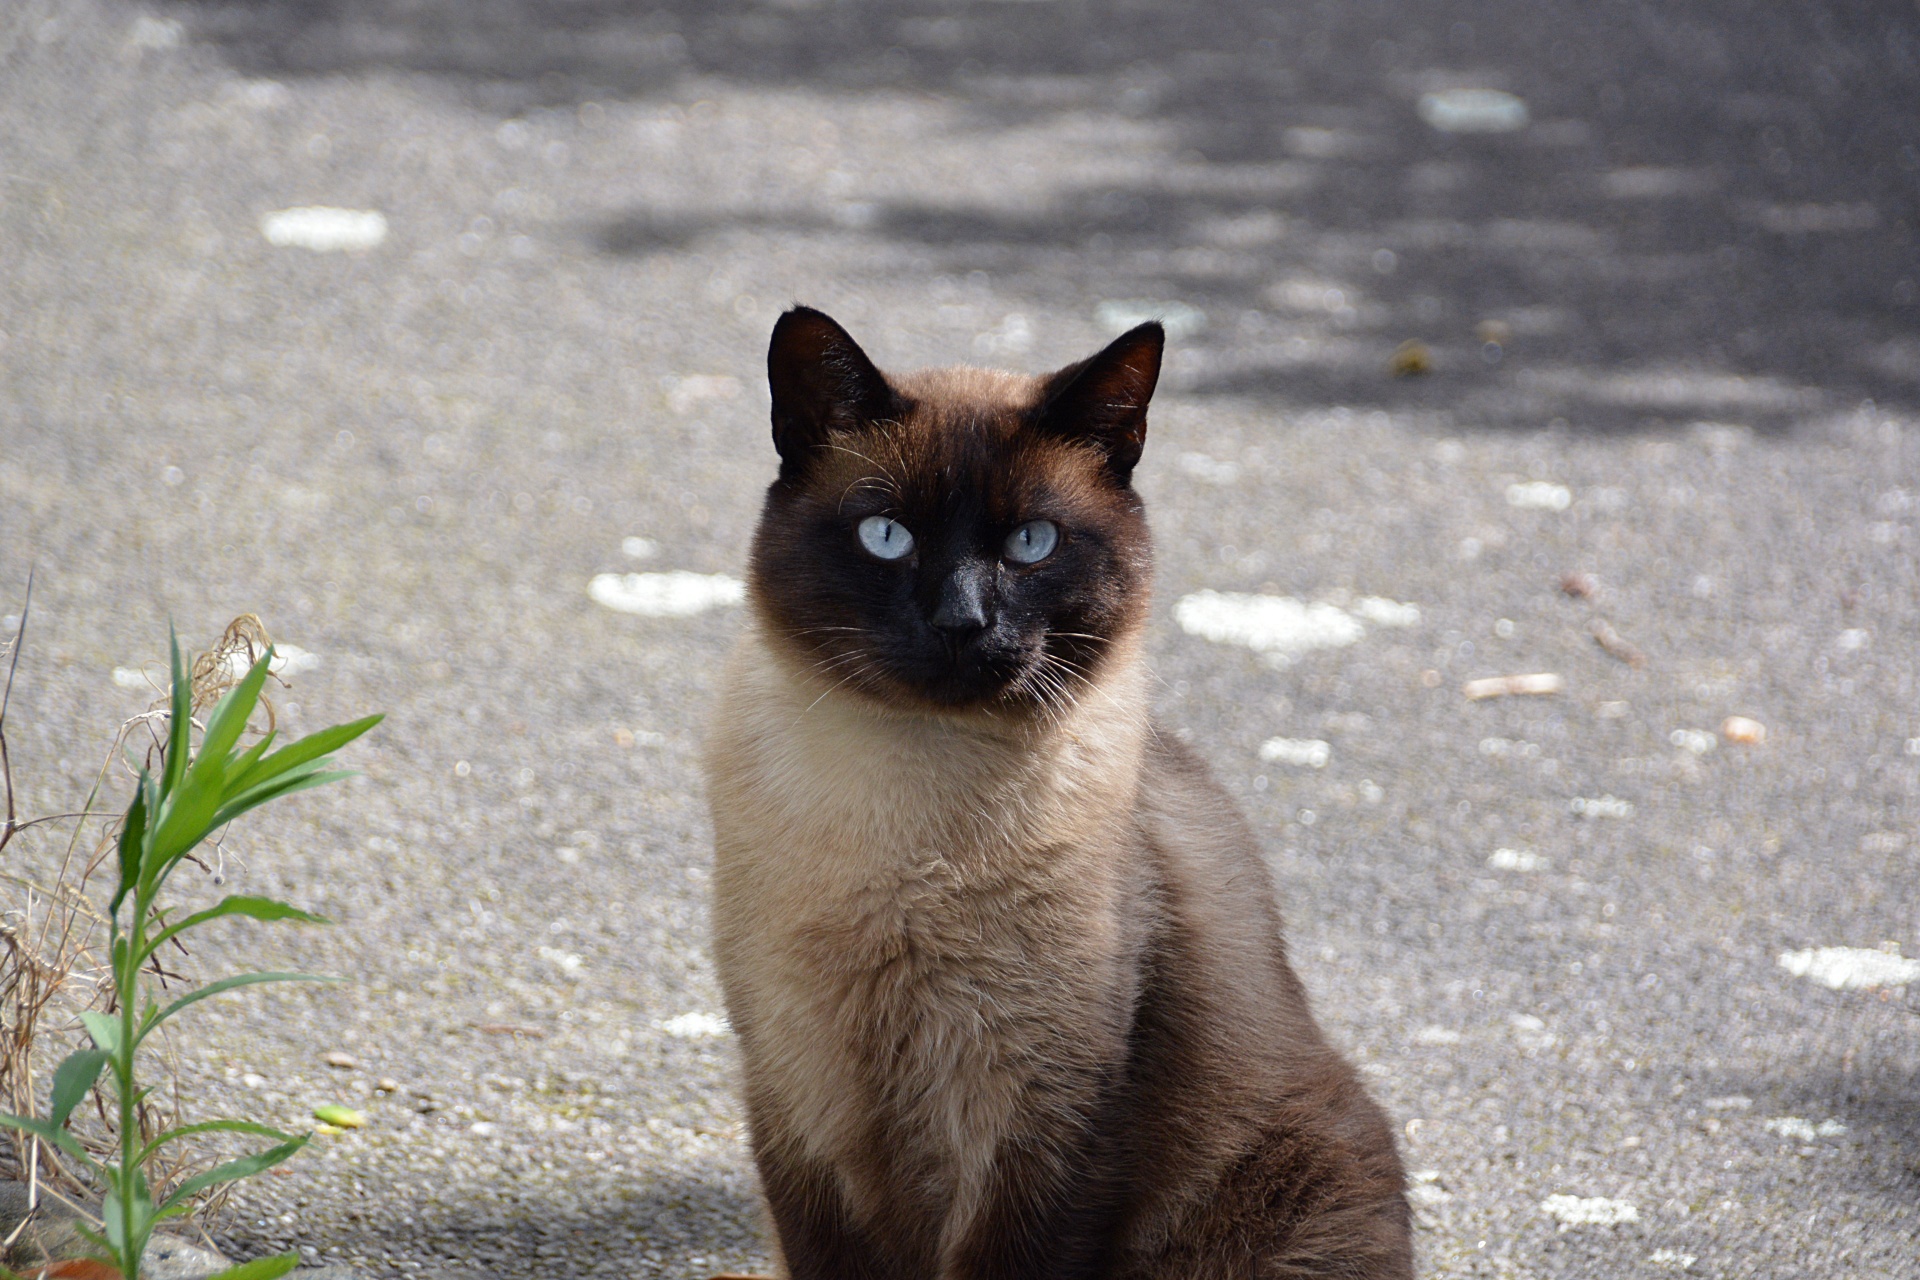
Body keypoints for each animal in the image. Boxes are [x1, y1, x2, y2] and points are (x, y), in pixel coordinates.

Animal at [706, 310, 1413, 1280]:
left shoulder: (1048, 1120)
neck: (915, 841)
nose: (962, 622)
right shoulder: (799, 1098)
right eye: (887, 536)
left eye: (1030, 544)